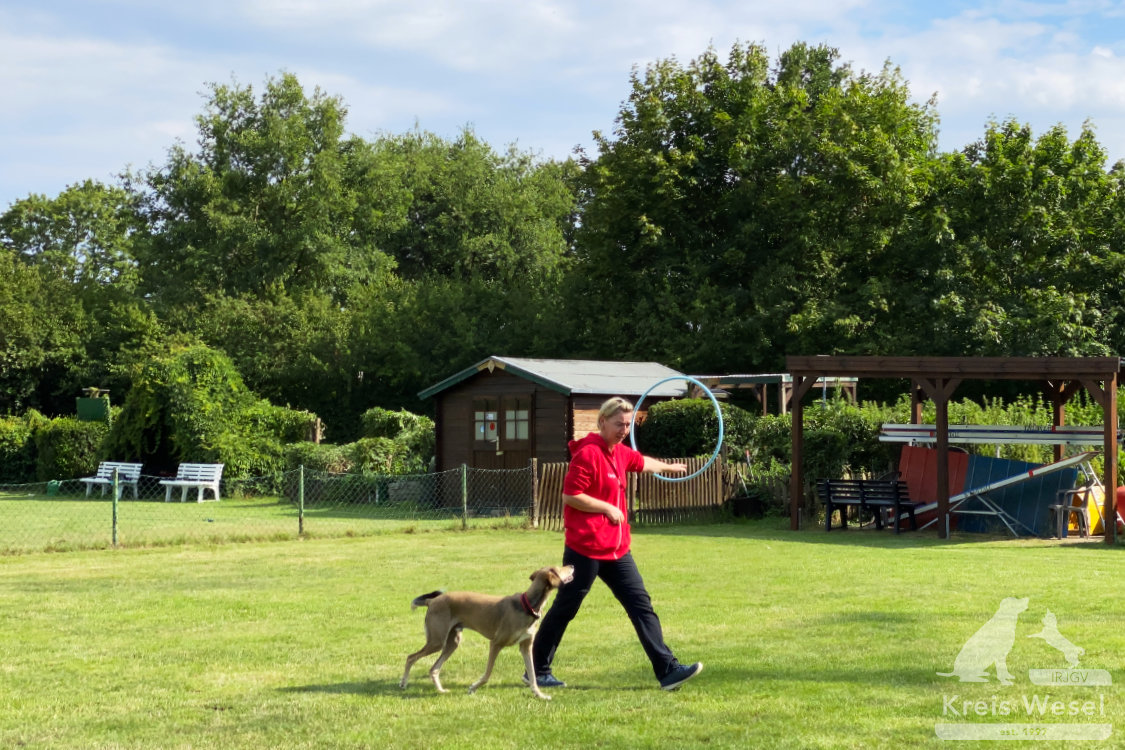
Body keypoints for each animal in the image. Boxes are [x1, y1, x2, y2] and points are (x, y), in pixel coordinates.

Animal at [402, 566, 576, 701]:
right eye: (558, 568)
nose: (572, 566)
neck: (527, 605)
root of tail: (432, 601)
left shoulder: (525, 647)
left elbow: (533, 676)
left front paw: (540, 695)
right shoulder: (496, 643)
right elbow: (487, 674)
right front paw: (472, 688)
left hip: (452, 642)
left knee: (434, 668)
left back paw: (441, 690)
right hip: (437, 641)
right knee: (411, 657)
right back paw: (403, 683)